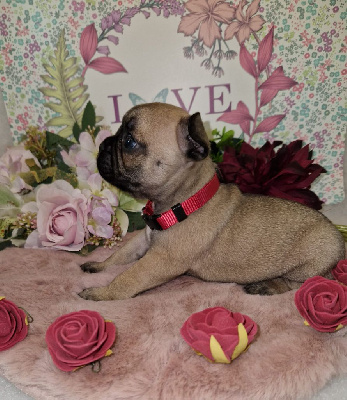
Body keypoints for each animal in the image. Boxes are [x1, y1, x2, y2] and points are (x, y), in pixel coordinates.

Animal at [78, 103, 346, 300]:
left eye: (129, 142)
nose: (104, 144)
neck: (185, 200)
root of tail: (340, 241)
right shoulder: (143, 242)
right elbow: (121, 255)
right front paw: (99, 266)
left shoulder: (160, 261)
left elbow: (128, 278)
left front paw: (102, 293)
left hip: (312, 262)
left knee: (302, 283)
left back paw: (268, 286)